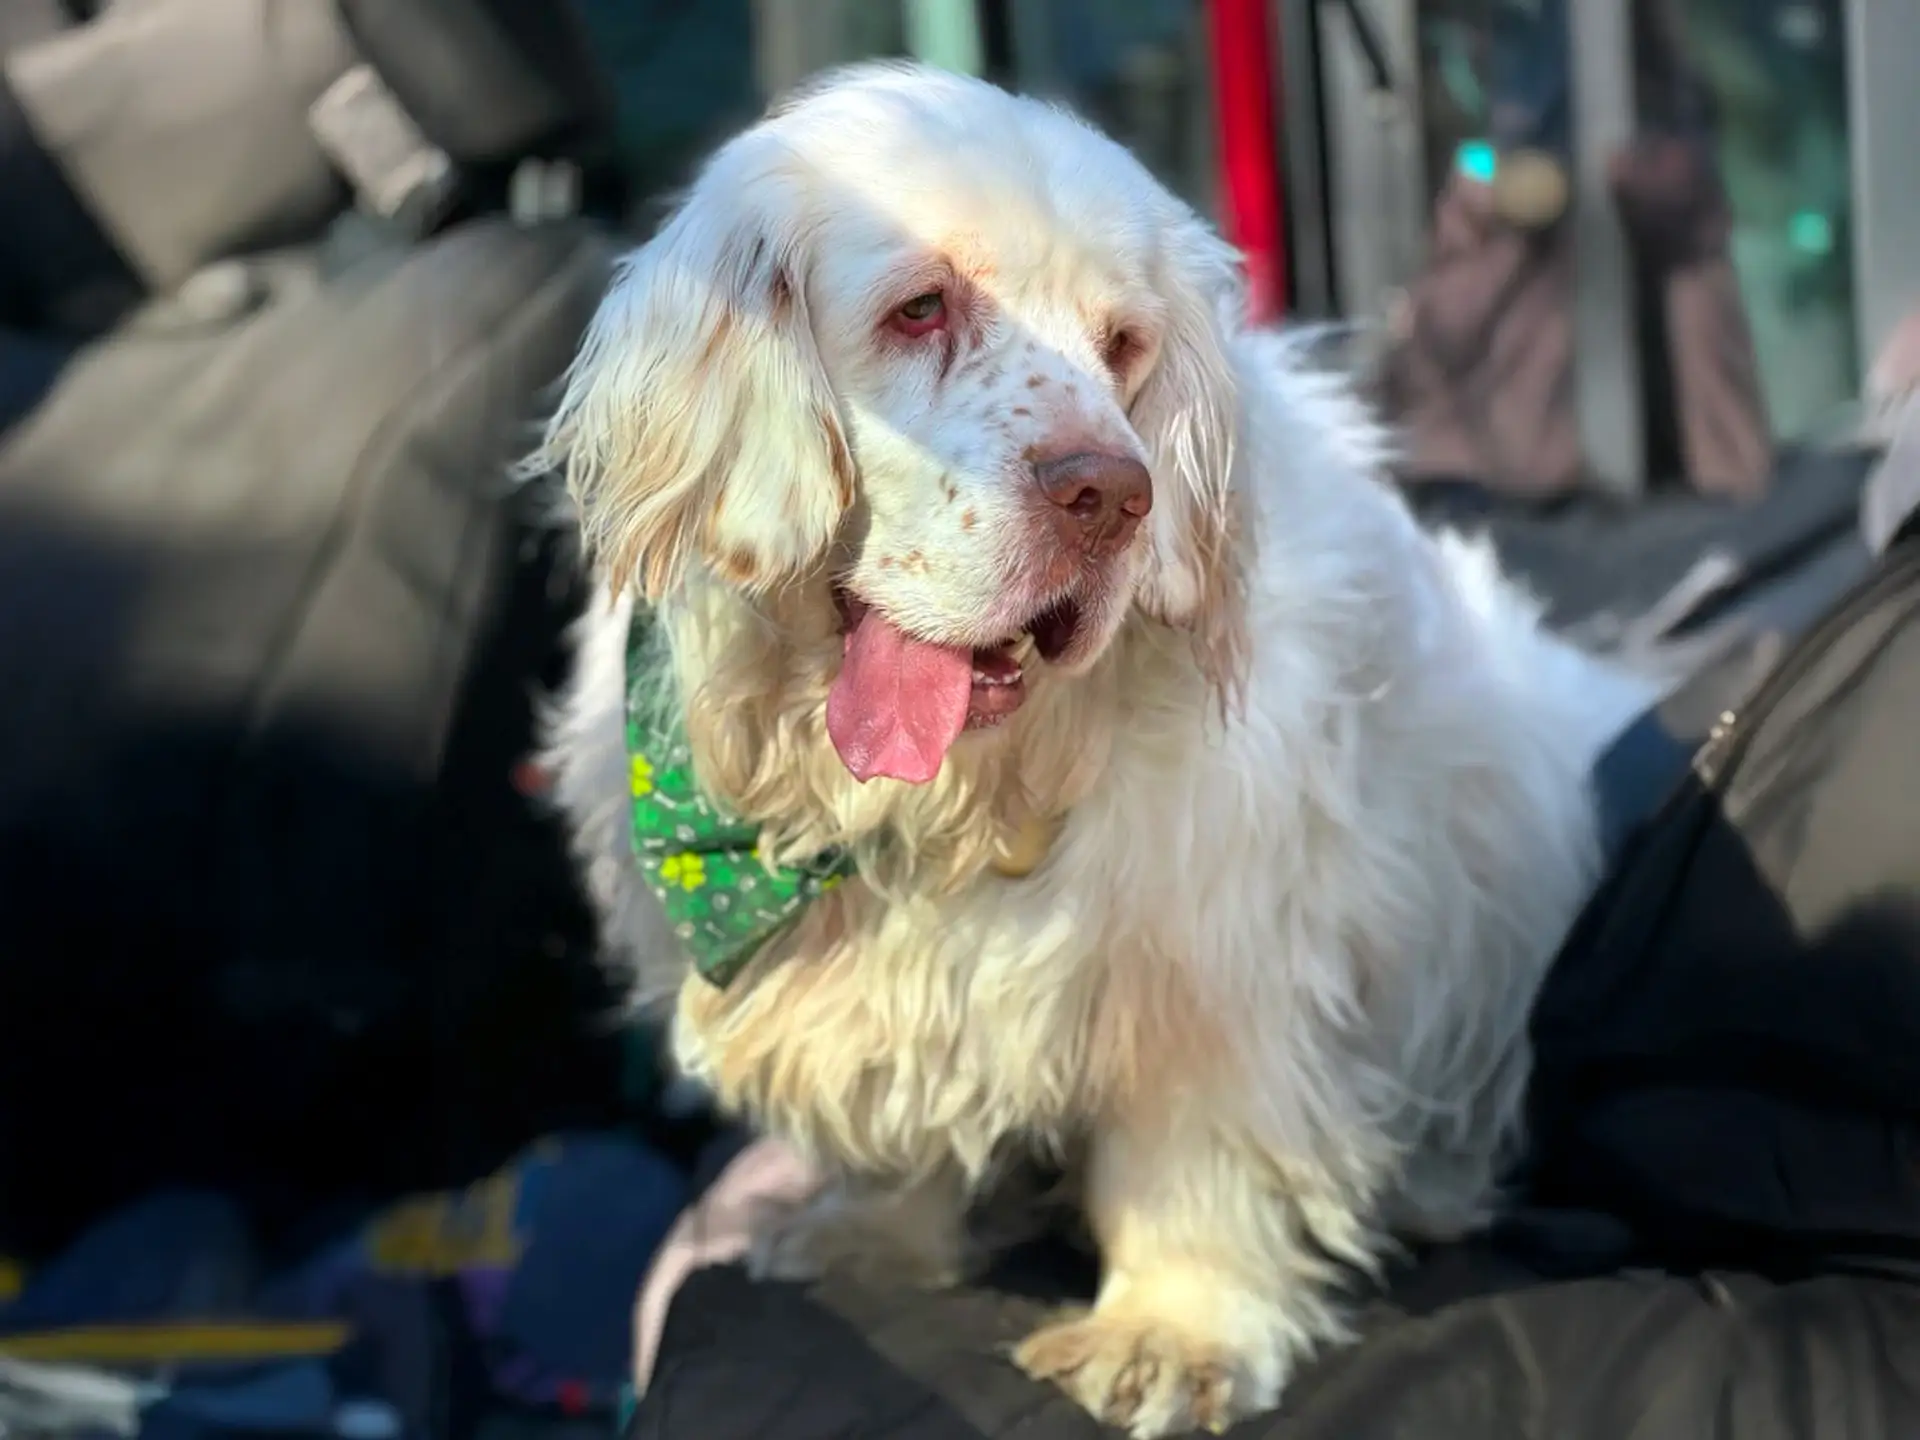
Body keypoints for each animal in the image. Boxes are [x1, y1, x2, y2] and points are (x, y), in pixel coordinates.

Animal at [533, 61, 1658, 1436]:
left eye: (1123, 344)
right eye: (920, 308)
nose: (1113, 494)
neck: (938, 808)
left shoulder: (1216, 952)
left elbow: (1192, 1149)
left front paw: (1170, 1333)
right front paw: (871, 1235)